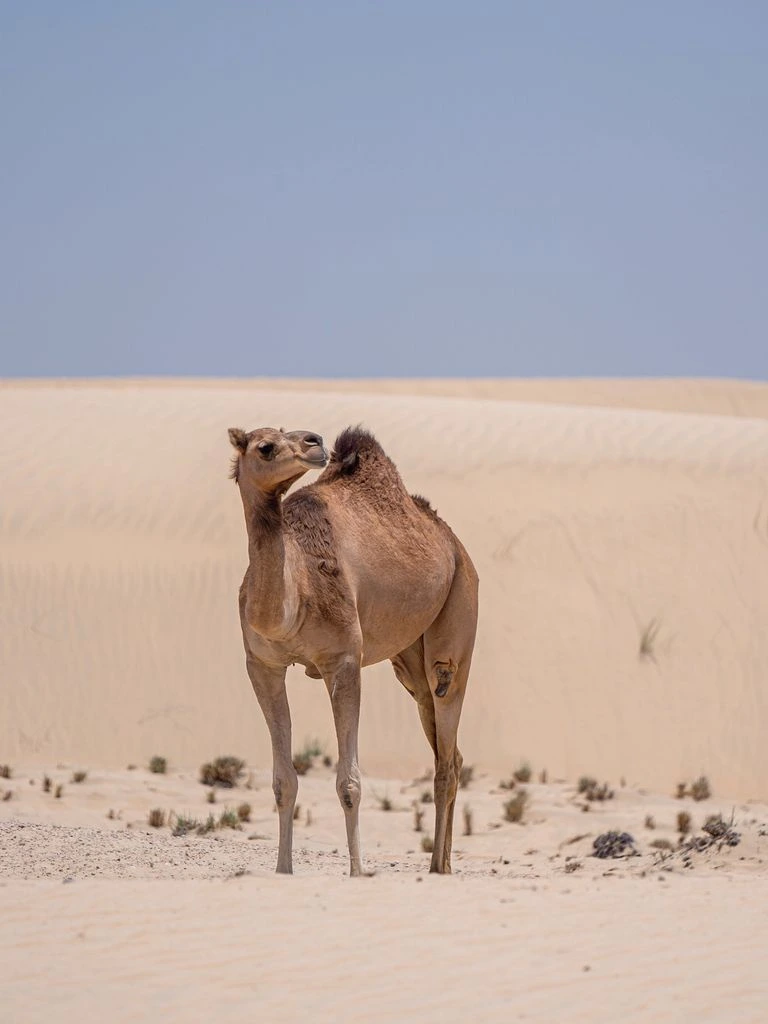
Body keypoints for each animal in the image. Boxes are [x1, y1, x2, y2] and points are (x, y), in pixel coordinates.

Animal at [228, 423, 478, 875]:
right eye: (266, 446)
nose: (314, 442)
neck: (295, 595)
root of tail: (453, 543)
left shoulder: (343, 662)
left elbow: (350, 782)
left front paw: (358, 871)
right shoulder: (263, 665)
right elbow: (283, 780)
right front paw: (283, 870)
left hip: (459, 615)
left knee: (446, 730)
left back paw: (438, 868)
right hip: (409, 663)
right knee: (449, 751)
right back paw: (444, 863)